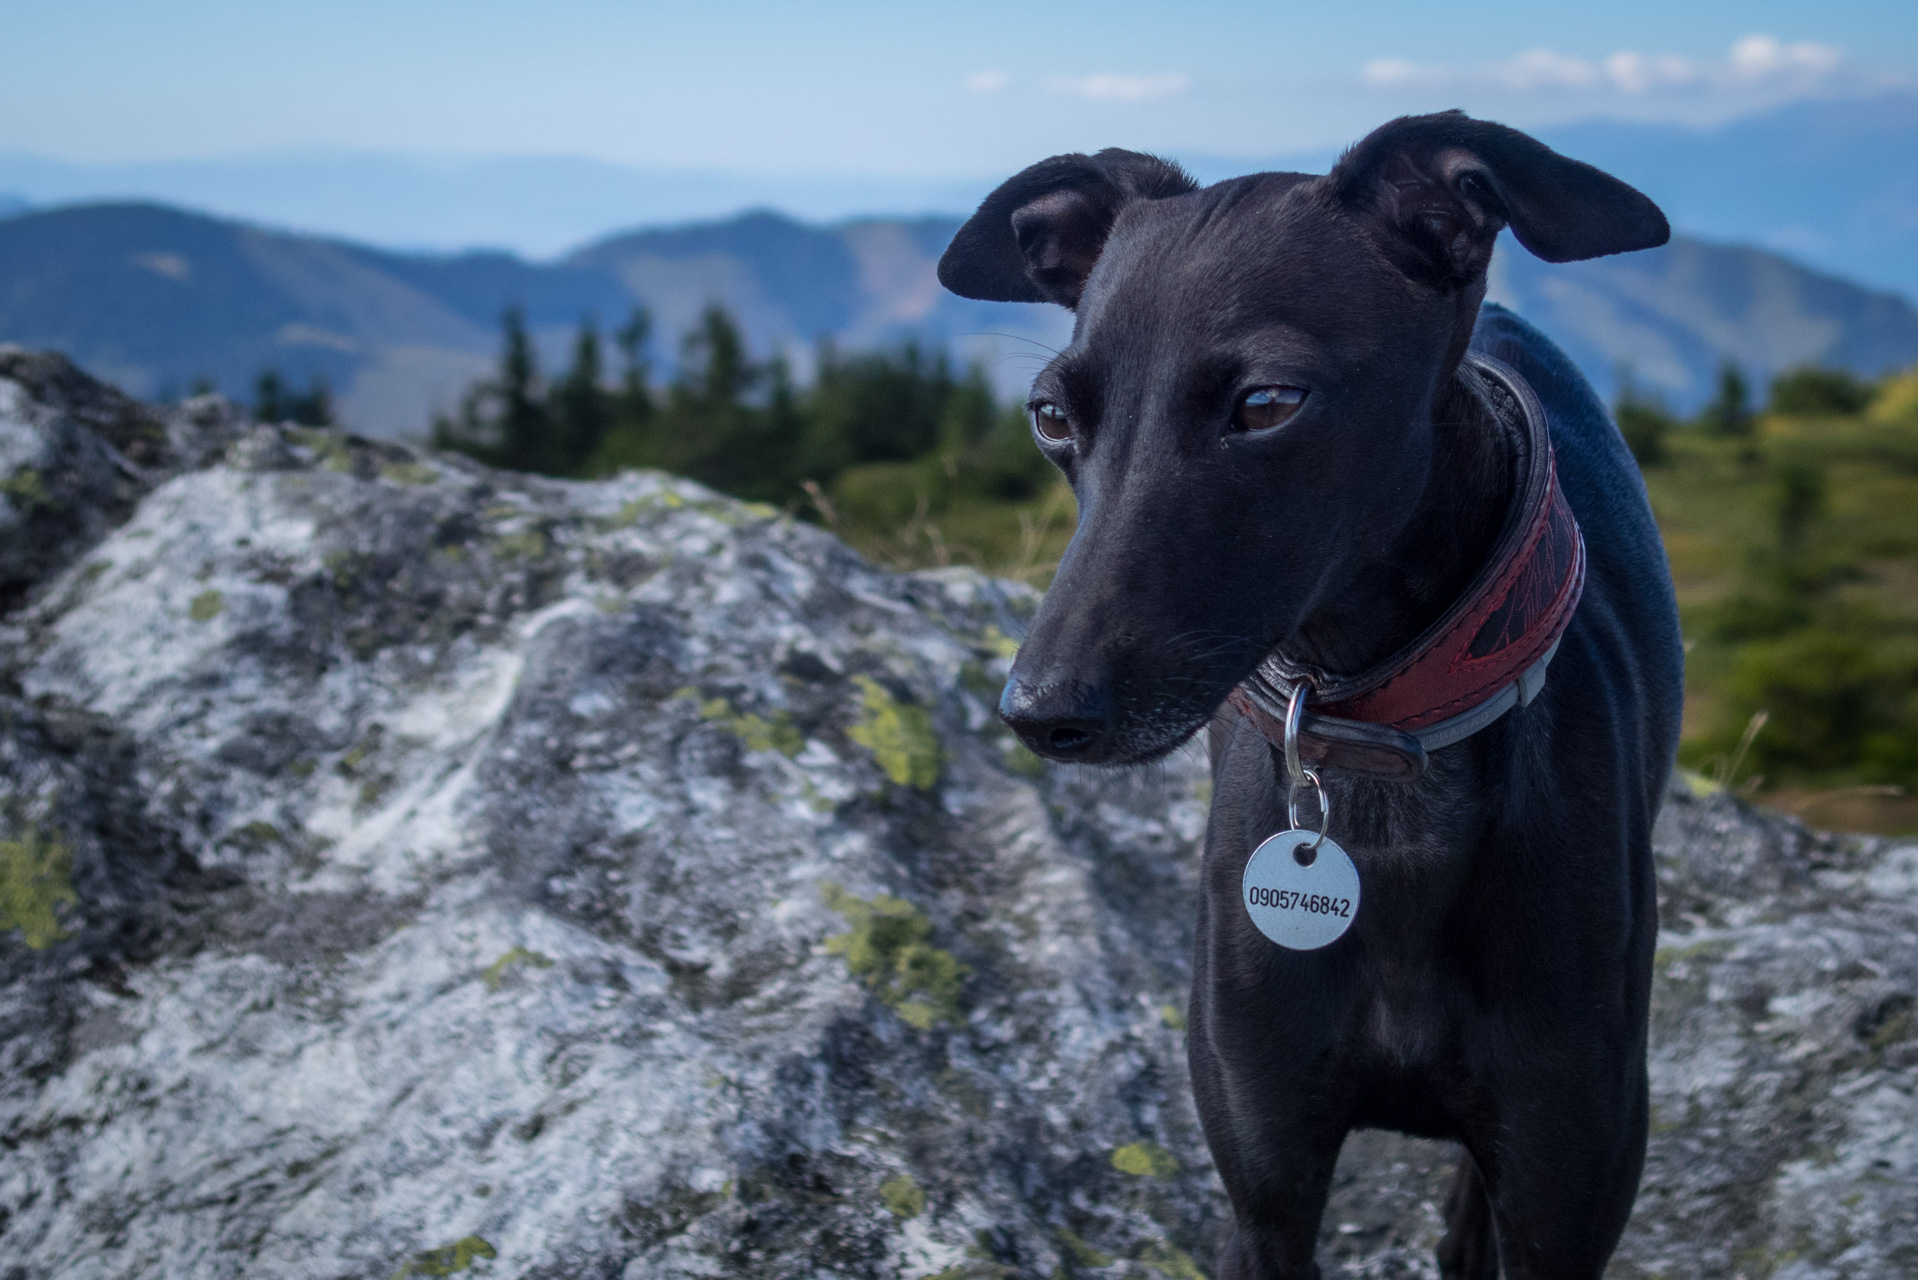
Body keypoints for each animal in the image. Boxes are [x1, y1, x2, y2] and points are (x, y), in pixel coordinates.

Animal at [939, 112, 1680, 1280]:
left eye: (1268, 402)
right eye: (1051, 414)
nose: (1040, 709)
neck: (1380, 750)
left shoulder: (1566, 1182)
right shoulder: (1266, 1189)